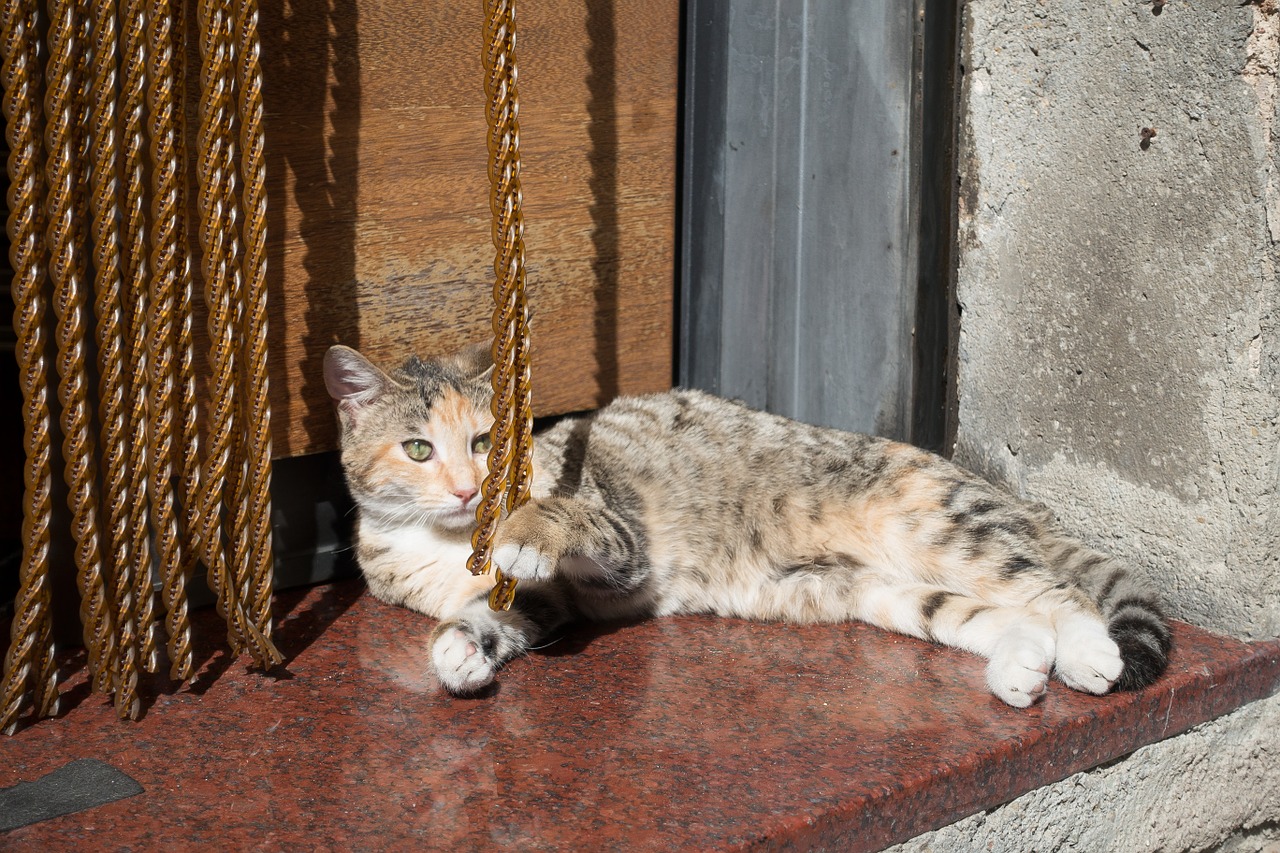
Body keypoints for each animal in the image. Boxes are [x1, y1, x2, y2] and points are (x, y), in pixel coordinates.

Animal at [322, 340, 1172, 701]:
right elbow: (491, 617)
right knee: (995, 613)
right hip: (880, 590)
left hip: (939, 526)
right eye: (419, 447)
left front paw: (527, 524)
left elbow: (573, 517)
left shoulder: (618, 542)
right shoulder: (539, 602)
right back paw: (1022, 668)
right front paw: (461, 652)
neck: (448, 542)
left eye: (485, 444)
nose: (471, 490)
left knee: (1059, 593)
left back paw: (1088, 653)